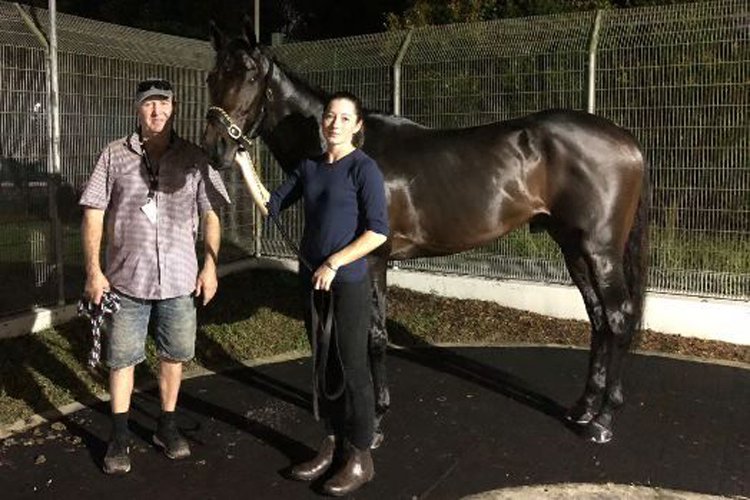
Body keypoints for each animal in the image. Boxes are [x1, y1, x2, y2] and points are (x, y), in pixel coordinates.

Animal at [204, 20, 652, 446]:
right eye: (212, 76)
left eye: (249, 75)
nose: (216, 149)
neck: (350, 153)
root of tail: (627, 141)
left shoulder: (372, 259)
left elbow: (373, 336)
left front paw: (375, 418)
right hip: (572, 247)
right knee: (598, 318)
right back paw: (583, 407)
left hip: (600, 250)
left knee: (617, 316)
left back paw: (603, 420)